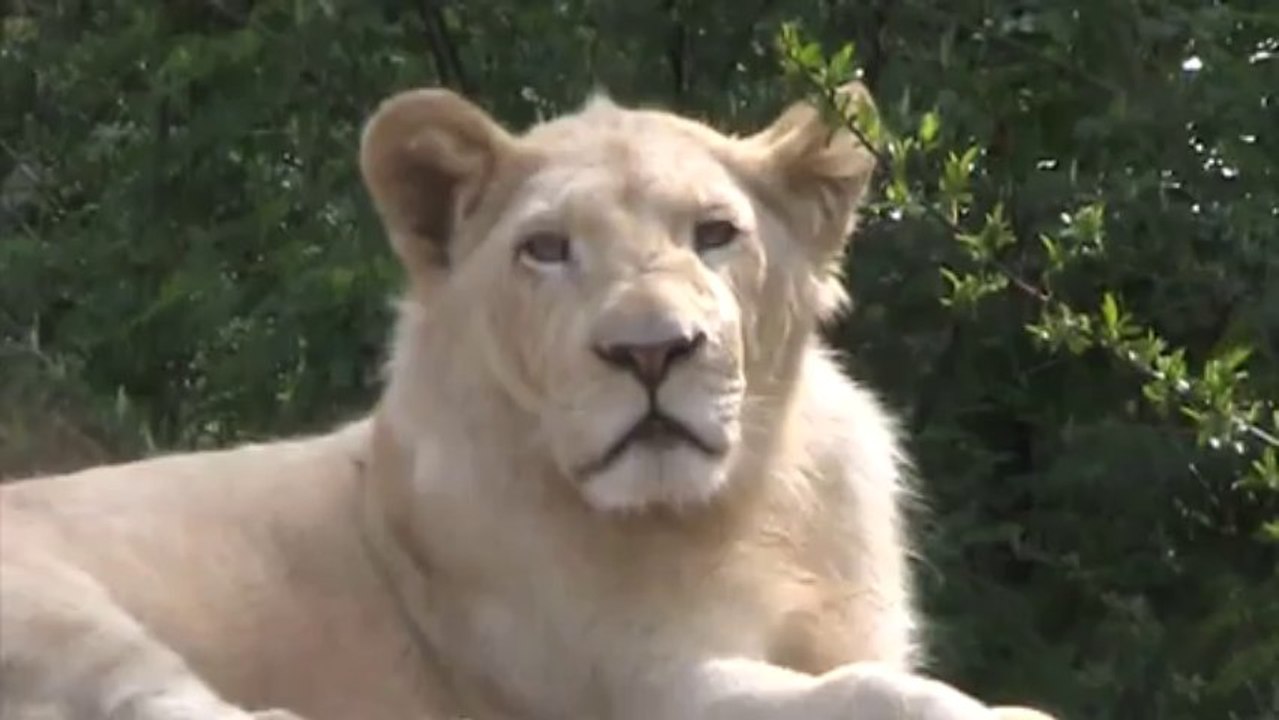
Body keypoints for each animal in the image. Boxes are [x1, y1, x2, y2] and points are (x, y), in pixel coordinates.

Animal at [0, 84, 1054, 720]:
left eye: (715, 233)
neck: (734, 505)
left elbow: (878, 675)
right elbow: (868, 693)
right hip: (64, 618)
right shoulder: (627, 684)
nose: (650, 351)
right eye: (544, 250)